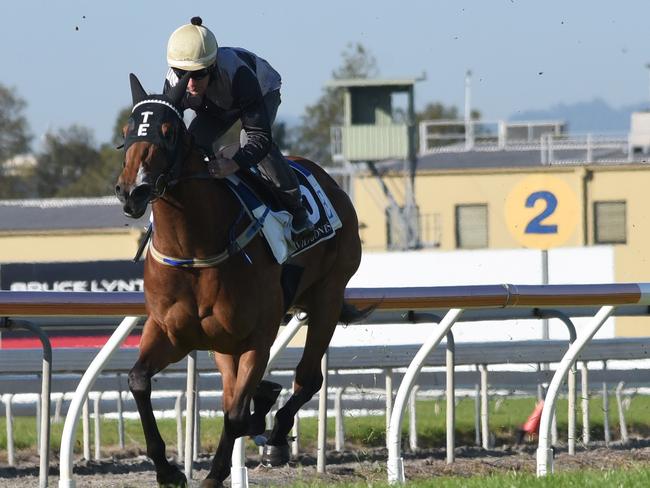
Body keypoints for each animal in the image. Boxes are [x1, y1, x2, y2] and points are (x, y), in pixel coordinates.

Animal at [112, 73, 364, 488]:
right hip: (222, 342)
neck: (194, 249)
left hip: (327, 297)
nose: (133, 190)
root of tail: (330, 180)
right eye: (127, 130)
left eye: (168, 131)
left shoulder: (256, 340)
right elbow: (138, 380)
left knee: (307, 379)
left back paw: (275, 433)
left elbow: (233, 414)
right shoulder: (169, 331)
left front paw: (213, 475)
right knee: (240, 392)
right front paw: (168, 470)